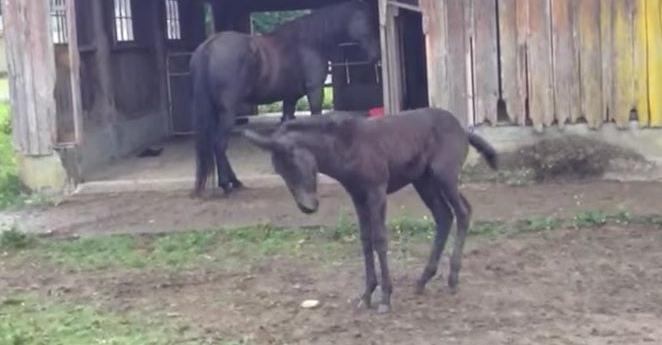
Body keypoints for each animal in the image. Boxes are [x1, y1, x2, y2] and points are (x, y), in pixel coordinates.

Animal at [189, 0, 382, 196]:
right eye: (367, 21)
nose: (377, 56)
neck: (309, 42)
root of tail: (209, 46)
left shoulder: (290, 98)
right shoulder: (315, 91)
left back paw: (234, 182)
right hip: (228, 112)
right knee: (219, 144)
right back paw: (226, 185)